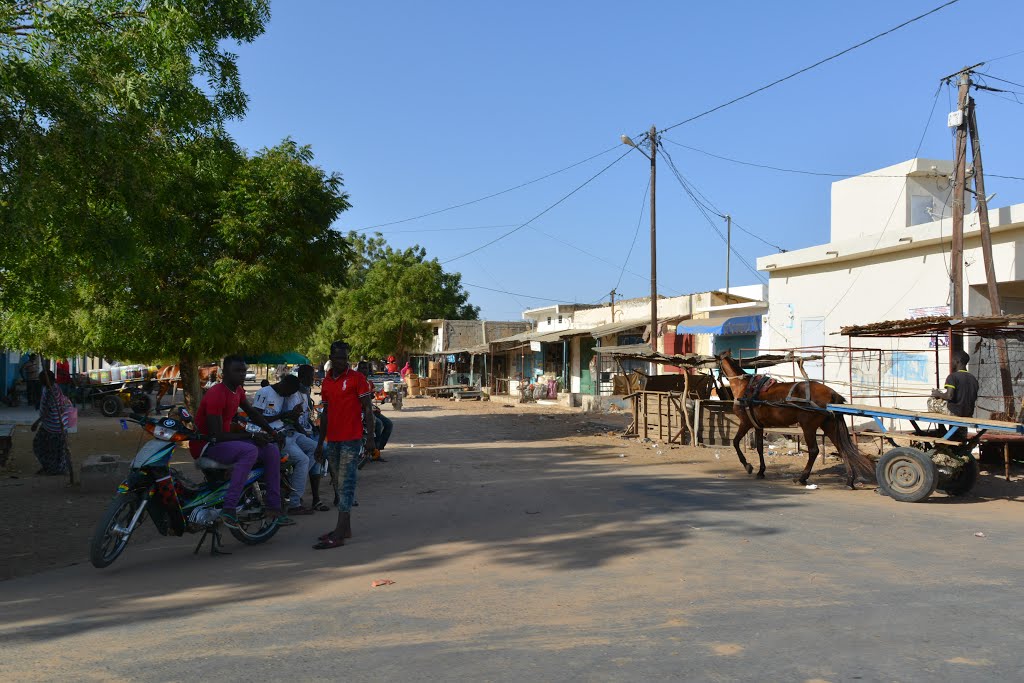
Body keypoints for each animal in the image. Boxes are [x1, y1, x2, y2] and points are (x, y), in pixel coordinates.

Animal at [716, 352, 876, 491]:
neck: (744, 386)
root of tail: (832, 393)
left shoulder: (745, 423)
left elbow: (735, 442)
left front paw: (747, 466)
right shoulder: (758, 426)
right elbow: (760, 448)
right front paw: (761, 471)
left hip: (808, 426)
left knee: (814, 451)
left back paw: (802, 478)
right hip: (829, 425)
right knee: (842, 449)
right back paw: (849, 481)